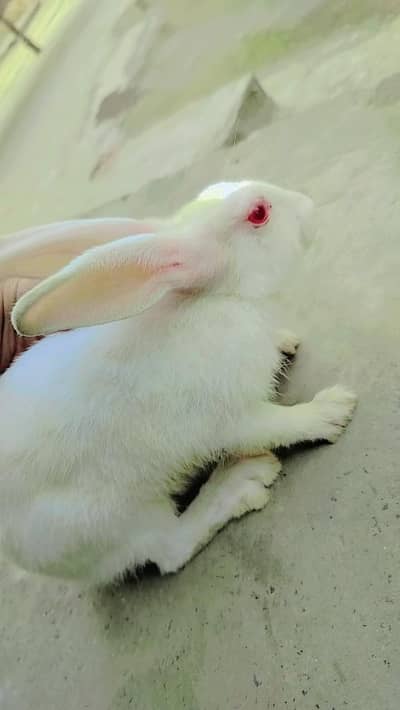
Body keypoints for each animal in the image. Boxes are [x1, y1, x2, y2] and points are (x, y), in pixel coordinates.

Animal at [0, 180, 357, 585]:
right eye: (258, 213)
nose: (308, 205)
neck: (219, 300)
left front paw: (284, 345)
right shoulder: (230, 419)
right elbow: (280, 425)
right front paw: (331, 411)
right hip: (110, 522)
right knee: (168, 549)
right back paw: (240, 484)